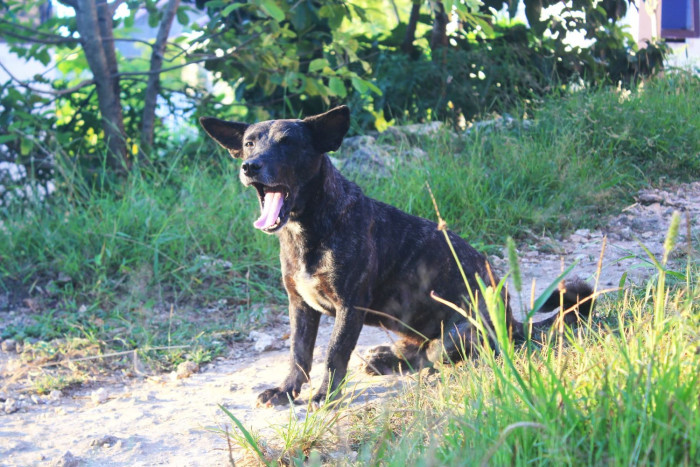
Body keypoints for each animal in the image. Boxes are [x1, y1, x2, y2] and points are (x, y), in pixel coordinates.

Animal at [200, 108, 592, 408]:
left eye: (287, 144)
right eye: (249, 143)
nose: (250, 166)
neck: (310, 225)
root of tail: (513, 322)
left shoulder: (350, 306)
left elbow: (333, 354)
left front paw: (324, 395)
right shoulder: (300, 306)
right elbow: (299, 353)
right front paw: (285, 391)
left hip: (457, 333)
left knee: (433, 357)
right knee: (414, 353)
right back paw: (384, 358)